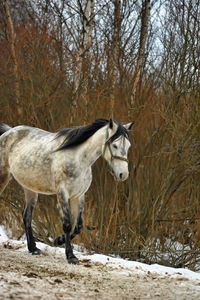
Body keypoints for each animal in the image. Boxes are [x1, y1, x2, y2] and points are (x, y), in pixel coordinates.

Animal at [0, 118, 134, 264]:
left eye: (128, 146)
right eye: (114, 145)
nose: (123, 174)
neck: (79, 160)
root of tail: (8, 132)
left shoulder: (78, 195)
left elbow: (78, 226)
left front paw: (58, 241)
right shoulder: (62, 193)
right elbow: (68, 224)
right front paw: (70, 256)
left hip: (30, 188)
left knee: (27, 216)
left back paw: (33, 249)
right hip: (4, 178)